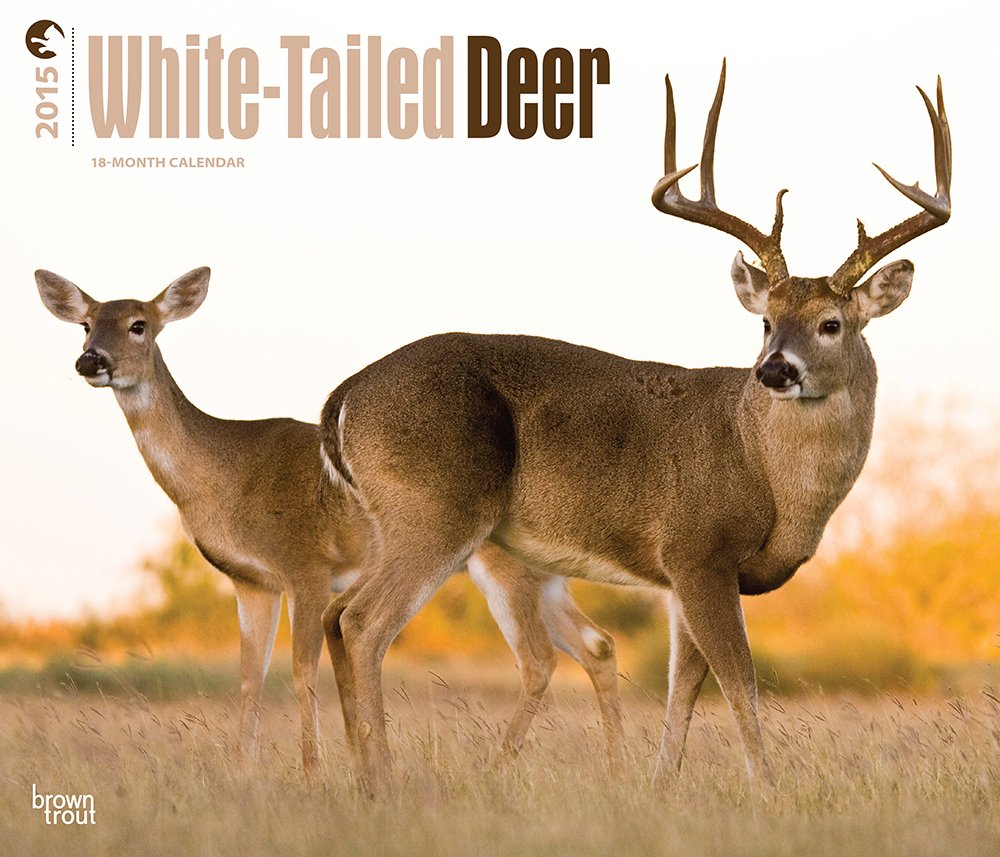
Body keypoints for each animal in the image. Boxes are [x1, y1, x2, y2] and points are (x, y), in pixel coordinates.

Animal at [35, 268, 627, 782]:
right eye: (86, 323)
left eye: (139, 323)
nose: (90, 361)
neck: (223, 473)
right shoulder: (251, 581)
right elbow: (249, 678)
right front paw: (242, 775)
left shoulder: (306, 566)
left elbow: (300, 672)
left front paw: (313, 776)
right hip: (543, 573)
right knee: (595, 643)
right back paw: (615, 772)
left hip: (497, 565)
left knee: (538, 658)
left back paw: (496, 769)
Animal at [317, 61, 951, 796]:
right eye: (766, 320)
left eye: (831, 323)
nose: (774, 370)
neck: (765, 469)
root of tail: (343, 398)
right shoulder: (697, 548)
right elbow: (740, 681)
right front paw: (765, 789)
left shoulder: (682, 576)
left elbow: (685, 687)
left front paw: (658, 786)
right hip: (437, 511)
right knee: (363, 622)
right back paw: (383, 782)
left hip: (404, 523)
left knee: (335, 616)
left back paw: (357, 776)